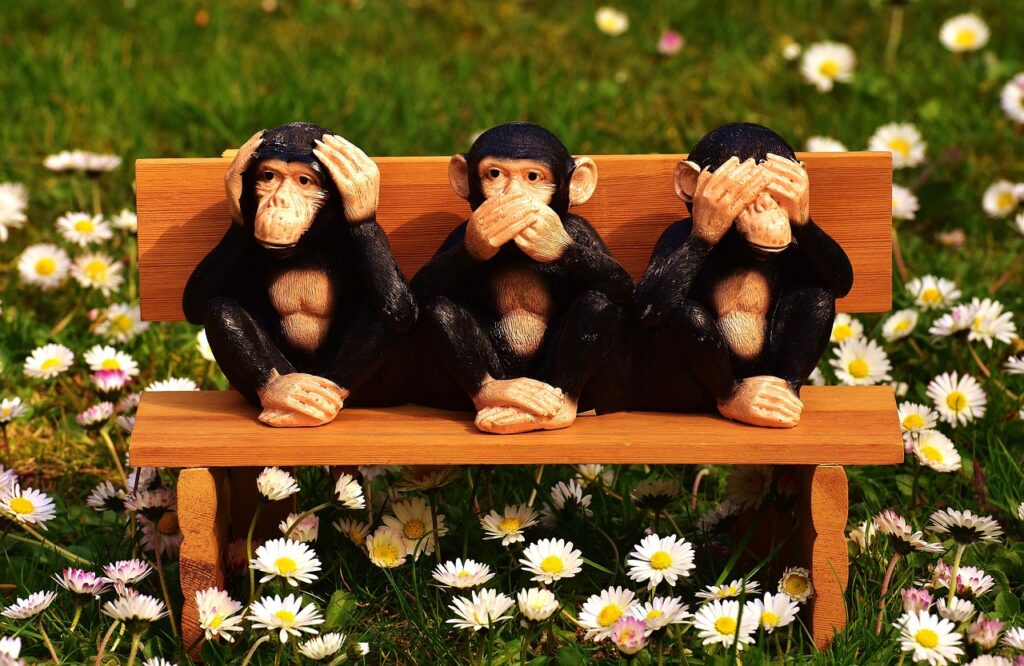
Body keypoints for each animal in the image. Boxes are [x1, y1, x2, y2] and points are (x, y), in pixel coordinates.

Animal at [182, 122, 416, 427]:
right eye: (268, 176)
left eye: (304, 181)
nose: (279, 201)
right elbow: (196, 303)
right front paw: (237, 190)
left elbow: (401, 309)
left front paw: (361, 193)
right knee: (221, 309)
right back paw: (282, 391)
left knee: (384, 313)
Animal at [411, 122, 633, 434]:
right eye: (495, 174)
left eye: (532, 177)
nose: (512, 194)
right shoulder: (457, 233)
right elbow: (418, 293)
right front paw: (484, 235)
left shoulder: (580, 229)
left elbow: (623, 285)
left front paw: (548, 238)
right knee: (439, 309)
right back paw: (498, 393)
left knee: (599, 301)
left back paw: (560, 409)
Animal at [634, 123, 853, 427]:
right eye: (745, 191)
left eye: (778, 193)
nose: (767, 207)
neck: (736, 248)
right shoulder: (672, 236)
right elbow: (647, 302)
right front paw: (712, 214)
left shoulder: (795, 247)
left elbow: (843, 279)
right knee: (684, 314)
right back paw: (740, 401)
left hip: (767, 368)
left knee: (817, 292)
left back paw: (785, 393)